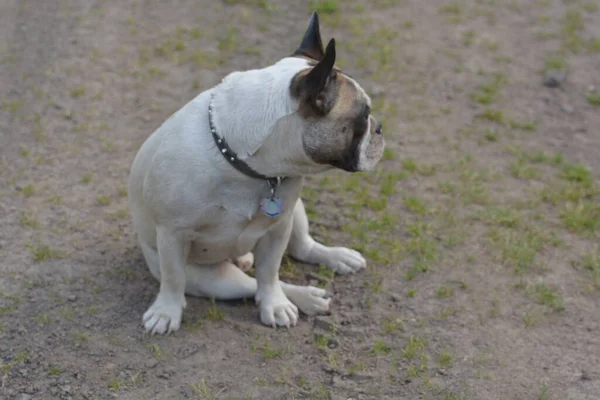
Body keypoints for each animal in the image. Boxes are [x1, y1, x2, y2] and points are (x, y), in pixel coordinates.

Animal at [129, 10, 386, 334]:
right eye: (363, 117)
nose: (380, 127)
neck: (248, 167)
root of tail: (239, 259)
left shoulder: (279, 225)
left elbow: (270, 272)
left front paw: (275, 305)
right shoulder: (172, 235)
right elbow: (174, 279)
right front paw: (166, 311)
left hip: (295, 211)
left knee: (300, 249)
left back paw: (333, 261)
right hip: (213, 280)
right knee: (247, 285)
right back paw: (306, 297)